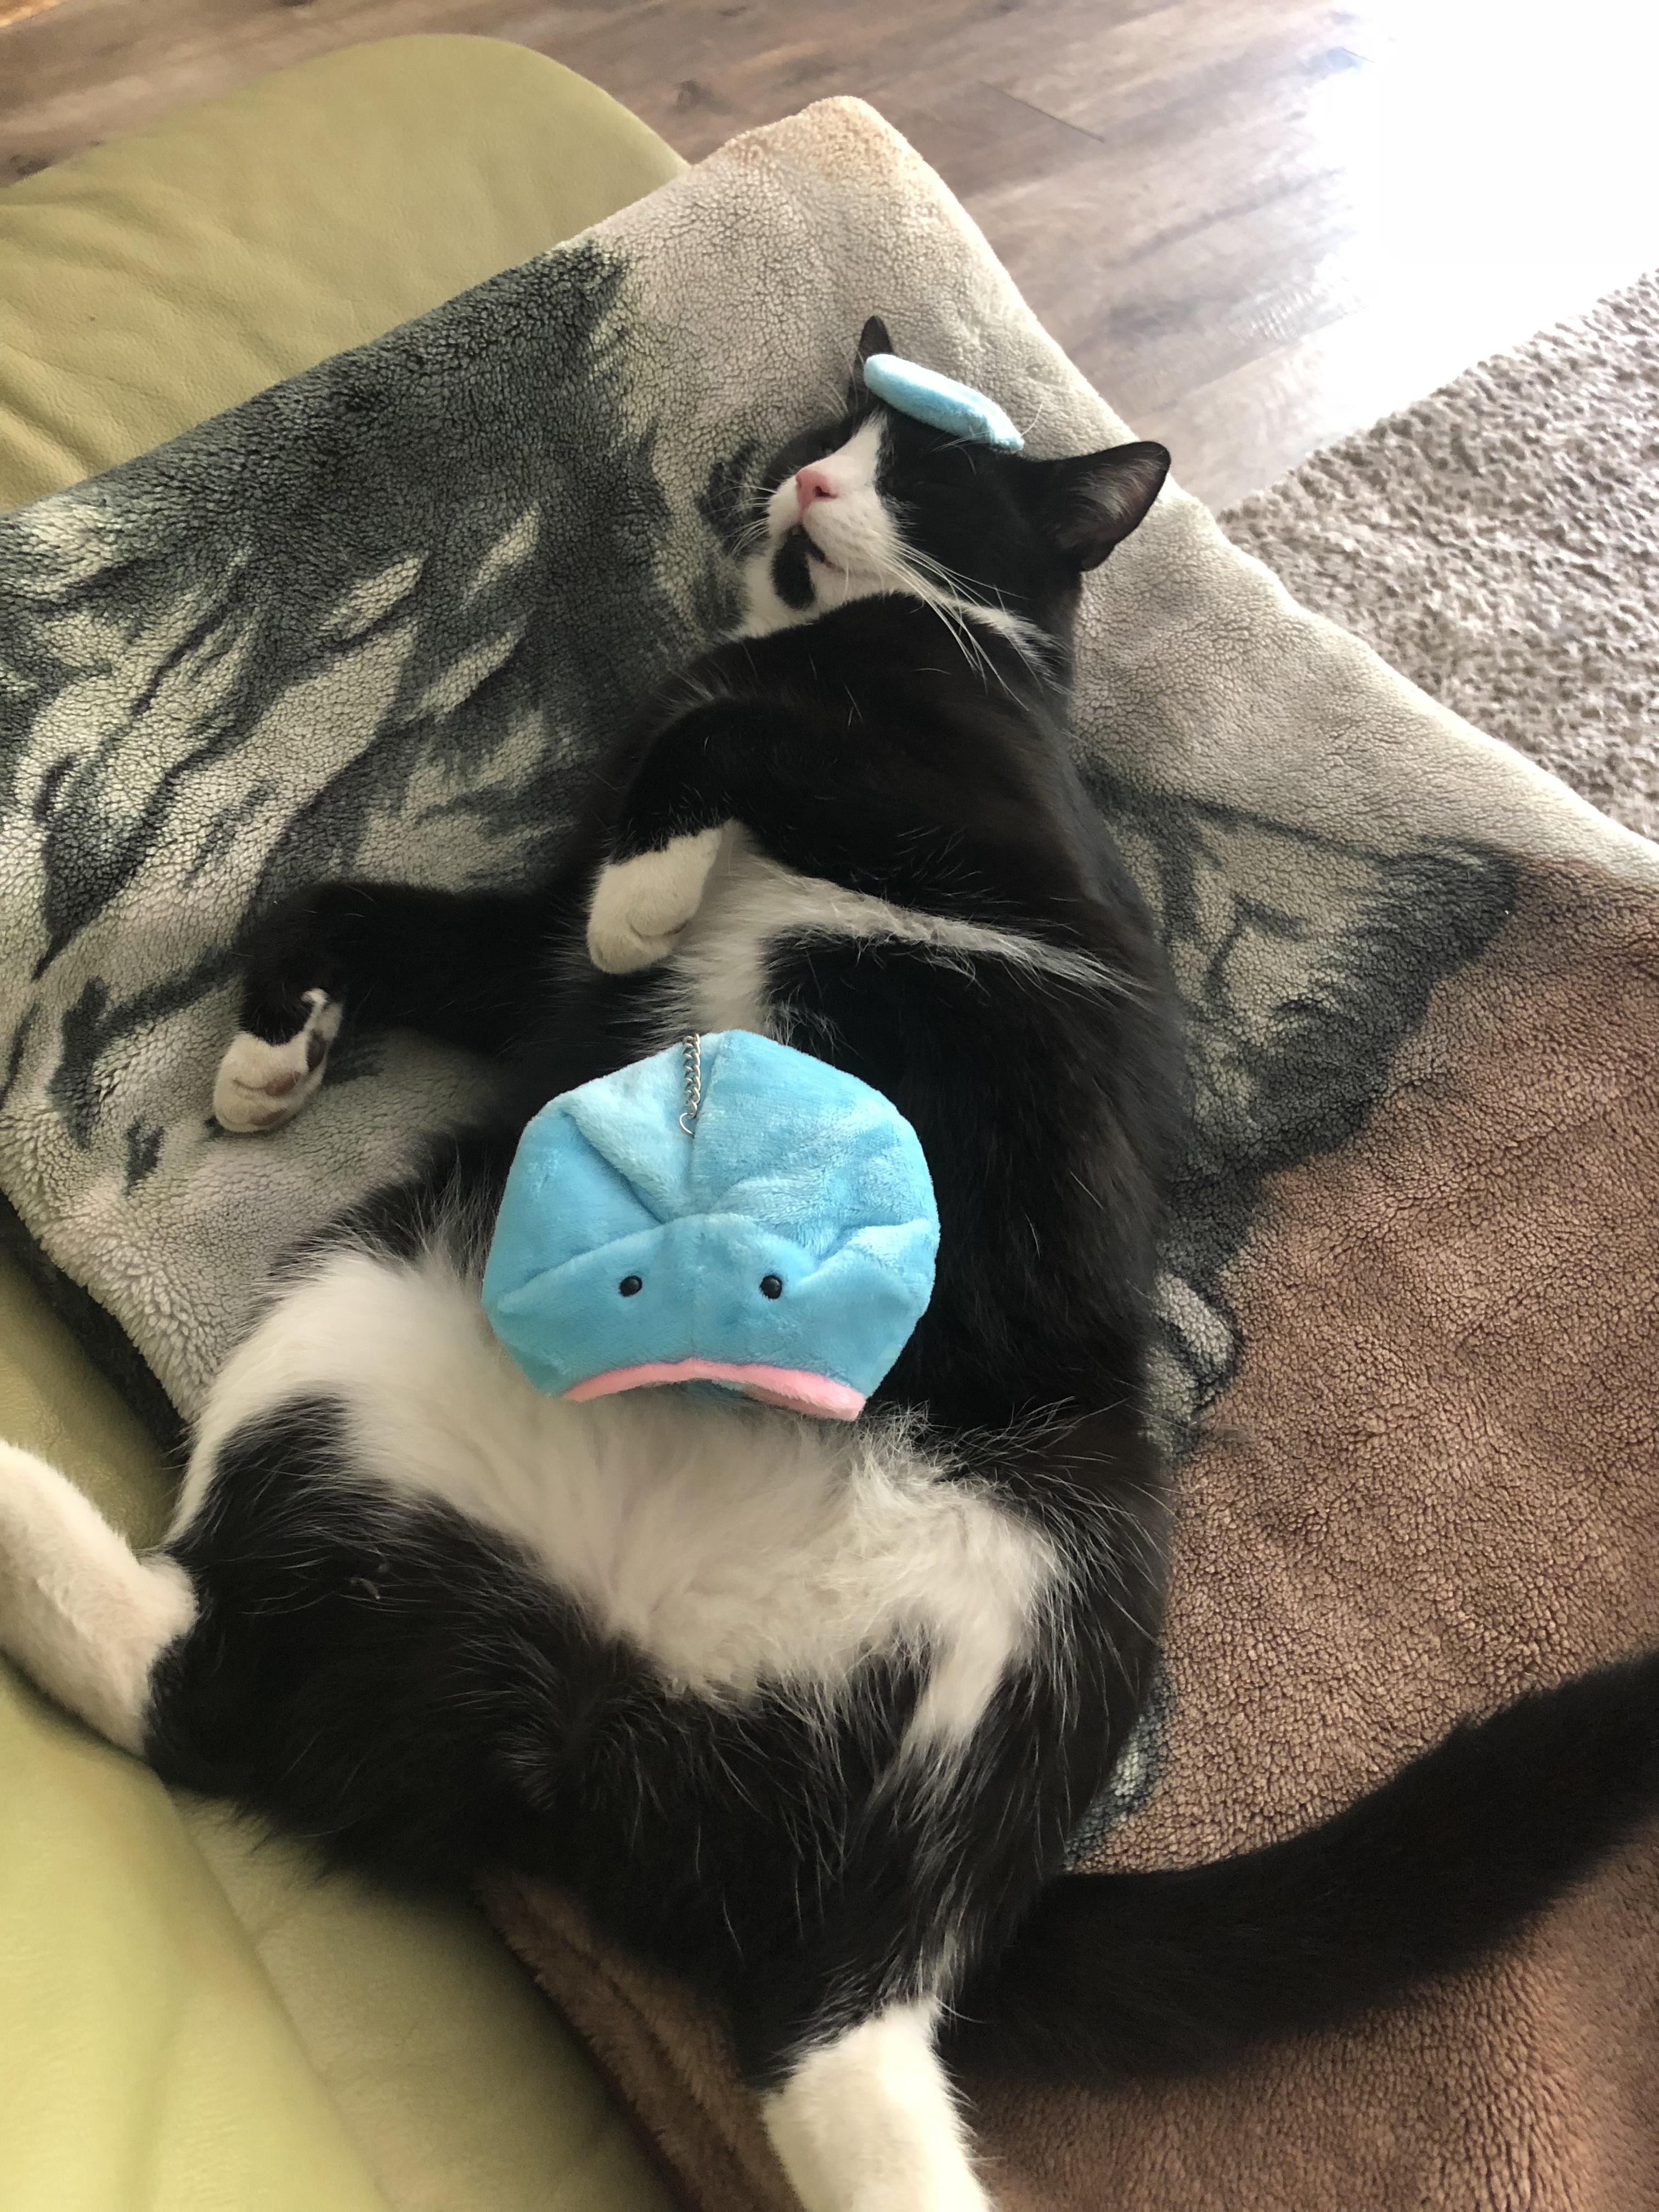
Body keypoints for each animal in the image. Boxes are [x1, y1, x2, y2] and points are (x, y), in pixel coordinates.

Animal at [3, 320, 1658, 2212]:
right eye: (830, 428)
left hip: (1056, 1583)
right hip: (358, 1327)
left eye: (923, 469)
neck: (842, 636)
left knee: (851, 2022)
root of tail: (612, 1709)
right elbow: (351, 900)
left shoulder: (962, 823)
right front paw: (274, 1054)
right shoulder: (536, 949)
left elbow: (735, 740)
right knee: (221, 1699)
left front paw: (654, 887)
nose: (803, 477)